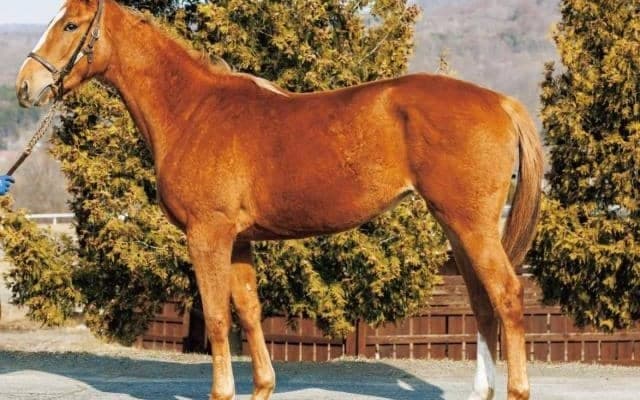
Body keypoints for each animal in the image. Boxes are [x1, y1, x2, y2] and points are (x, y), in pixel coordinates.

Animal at [16, 1, 543, 399]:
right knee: (482, 303)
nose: (25, 86)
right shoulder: (239, 240)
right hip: (457, 226)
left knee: (507, 296)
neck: (192, 111)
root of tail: (501, 103)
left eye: (69, 25)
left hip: (471, 225)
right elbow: (249, 313)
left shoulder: (207, 235)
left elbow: (215, 316)